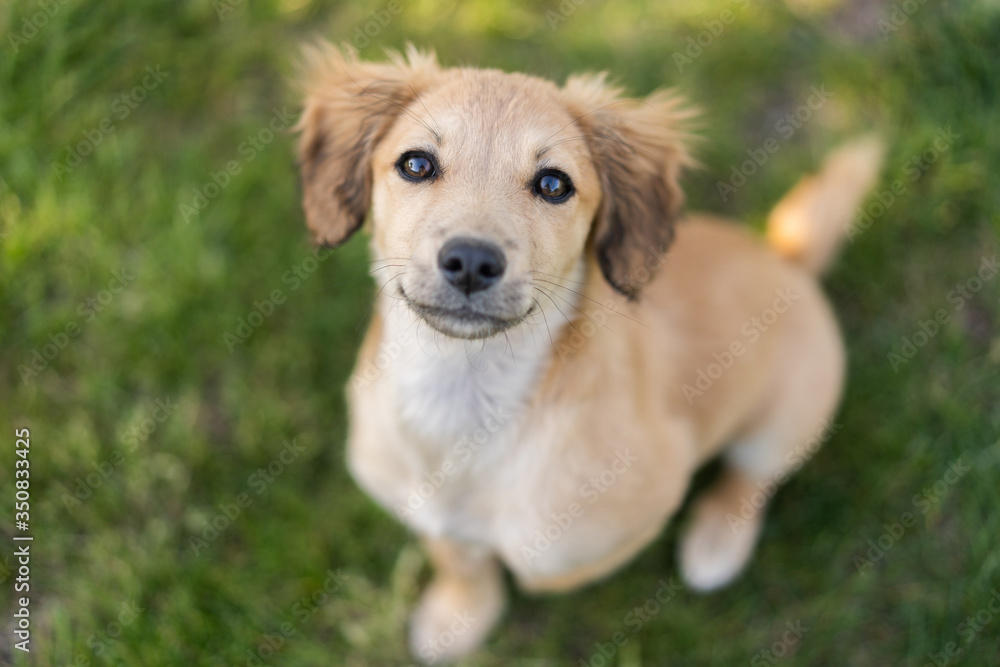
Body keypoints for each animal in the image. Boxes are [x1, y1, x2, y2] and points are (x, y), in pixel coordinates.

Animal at [294, 45, 884, 664]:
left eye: (554, 183)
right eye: (415, 165)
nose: (472, 262)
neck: (461, 393)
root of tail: (785, 260)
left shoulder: (638, 501)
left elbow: (540, 565)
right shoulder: (419, 504)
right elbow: (456, 554)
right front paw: (459, 615)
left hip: (784, 421)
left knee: (750, 478)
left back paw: (717, 540)